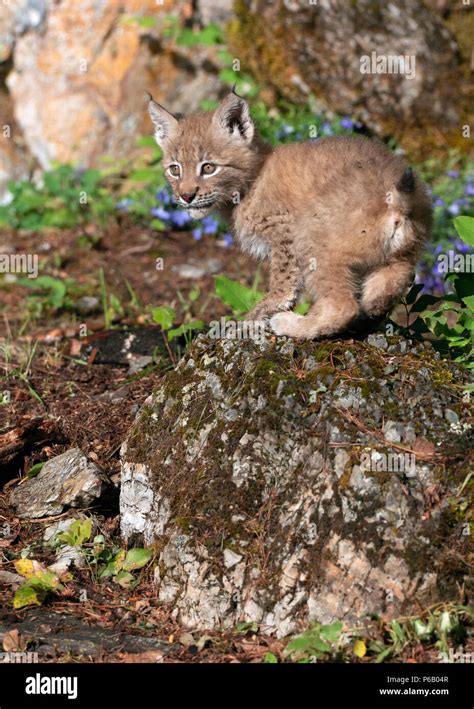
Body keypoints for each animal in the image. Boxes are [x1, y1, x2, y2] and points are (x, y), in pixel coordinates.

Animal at [150, 90, 432, 338]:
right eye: (174, 170)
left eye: (208, 168)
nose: (186, 196)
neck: (252, 181)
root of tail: (394, 195)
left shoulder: (283, 232)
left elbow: (283, 281)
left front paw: (256, 315)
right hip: (402, 256)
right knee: (382, 295)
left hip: (314, 237)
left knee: (342, 306)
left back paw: (292, 325)